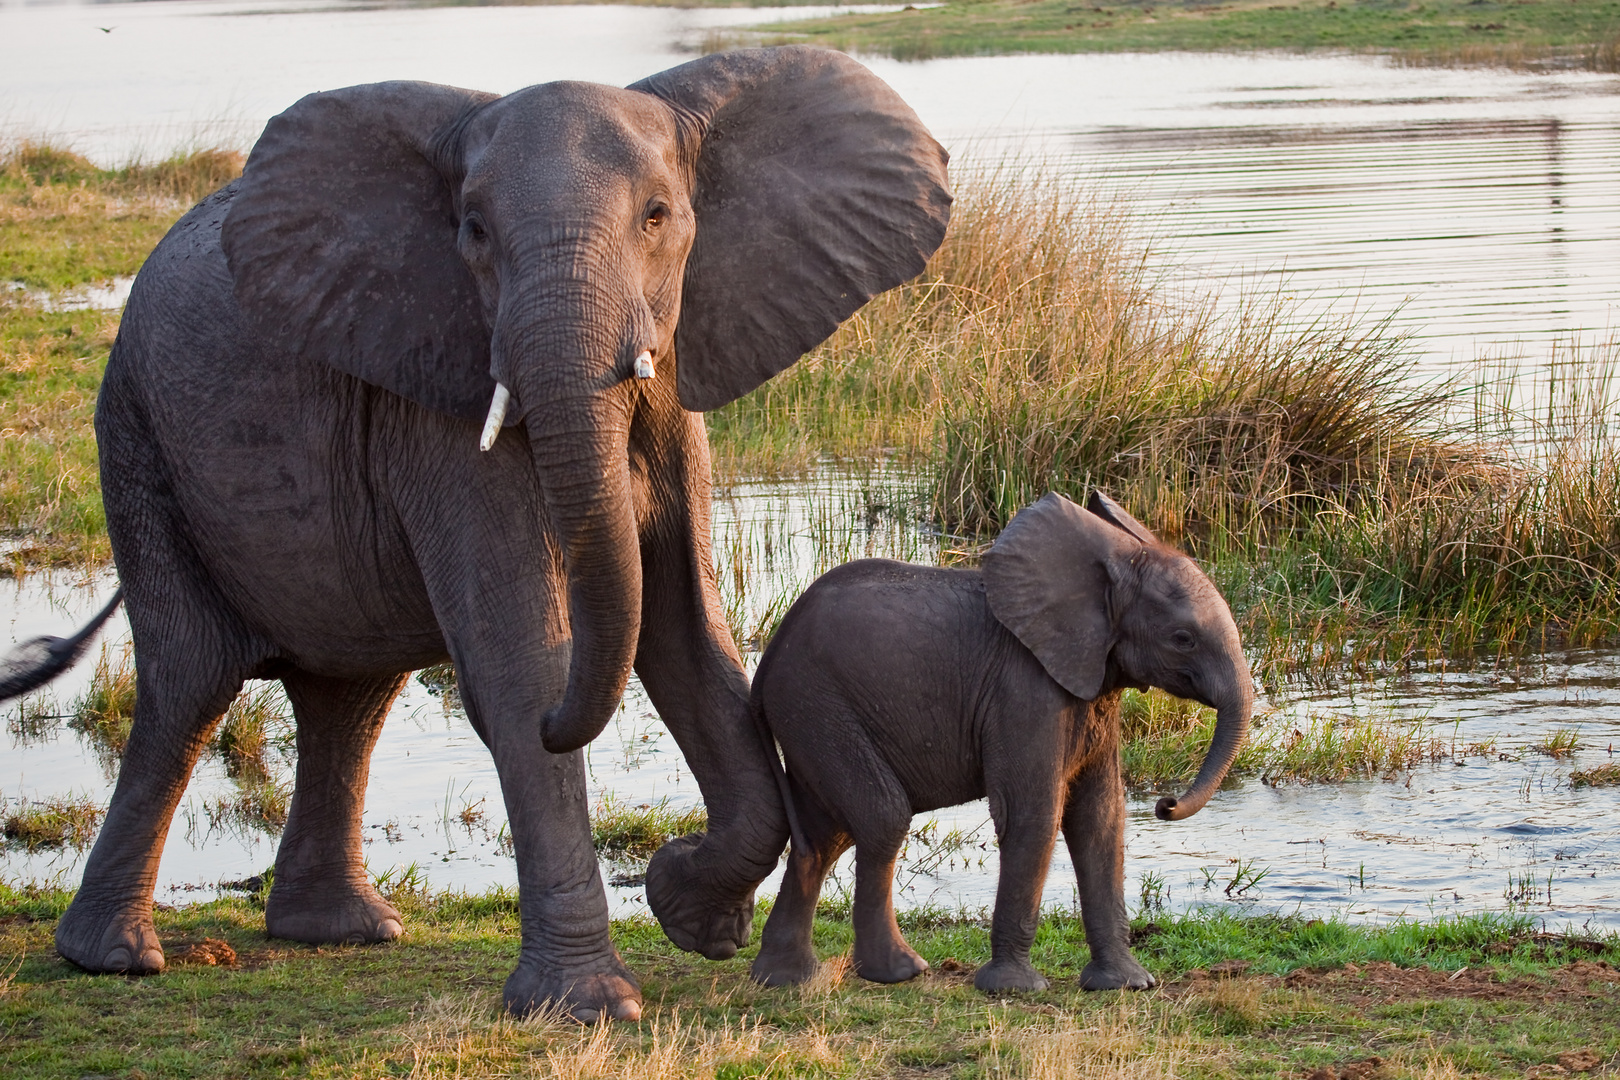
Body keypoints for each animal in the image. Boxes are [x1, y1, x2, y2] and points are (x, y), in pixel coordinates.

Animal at [31, 44, 952, 1023]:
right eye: (472, 232)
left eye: (658, 217)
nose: (669, 870)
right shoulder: (441, 394)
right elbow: (523, 662)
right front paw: (591, 1007)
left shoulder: (674, 385)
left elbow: (688, 639)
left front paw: (692, 915)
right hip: (136, 440)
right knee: (190, 683)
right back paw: (116, 958)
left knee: (350, 697)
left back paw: (342, 932)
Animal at [751, 495, 1257, 990]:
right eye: (1183, 639)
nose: (1165, 805)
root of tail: (769, 656)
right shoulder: (1024, 689)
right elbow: (1033, 813)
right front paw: (1013, 988)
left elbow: (1100, 816)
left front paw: (1126, 985)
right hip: (816, 704)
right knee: (881, 817)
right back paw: (899, 972)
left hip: (812, 716)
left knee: (824, 837)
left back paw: (786, 979)